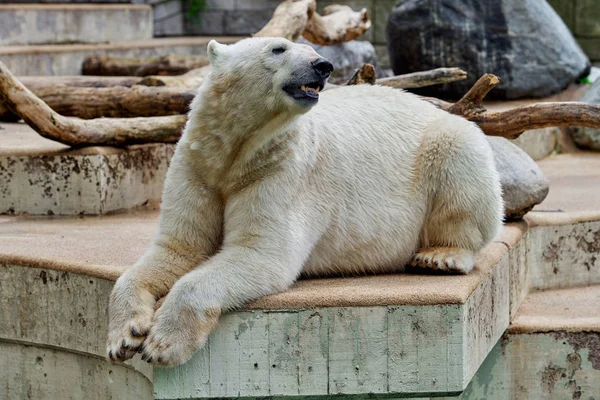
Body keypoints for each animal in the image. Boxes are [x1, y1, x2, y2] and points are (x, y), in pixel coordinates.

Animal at [106, 37, 502, 366]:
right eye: (278, 48)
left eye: (310, 48)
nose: (322, 65)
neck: (234, 153)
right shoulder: (198, 167)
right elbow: (178, 249)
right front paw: (123, 337)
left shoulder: (281, 170)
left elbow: (259, 253)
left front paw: (162, 345)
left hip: (444, 145)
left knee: (462, 167)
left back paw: (440, 256)